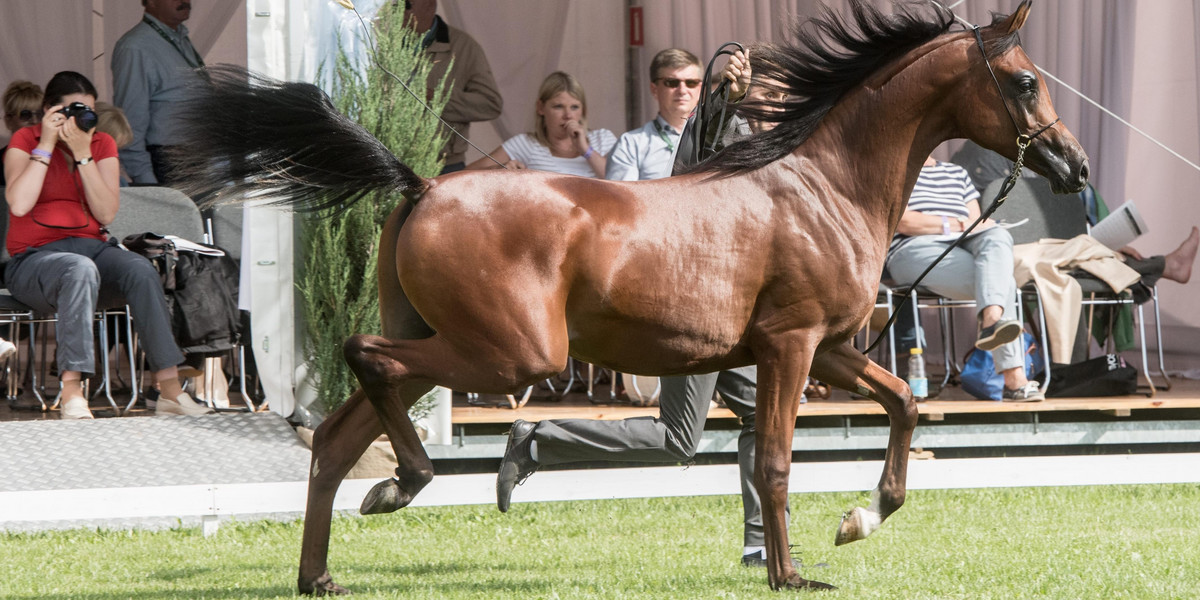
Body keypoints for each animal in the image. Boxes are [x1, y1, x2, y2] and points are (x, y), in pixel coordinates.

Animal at [171, 0, 1089, 590]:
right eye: (1022, 82)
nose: (1075, 166)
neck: (823, 186)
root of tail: (424, 184)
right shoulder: (791, 346)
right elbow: (775, 459)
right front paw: (793, 572)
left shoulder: (828, 347)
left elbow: (903, 401)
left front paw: (861, 518)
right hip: (508, 354)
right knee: (362, 358)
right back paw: (409, 480)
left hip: (451, 348)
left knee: (333, 437)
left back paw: (326, 566)